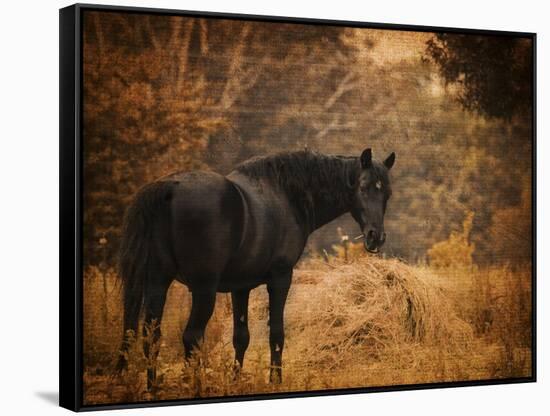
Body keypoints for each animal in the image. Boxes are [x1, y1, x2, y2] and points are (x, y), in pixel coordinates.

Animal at [116, 149, 396, 386]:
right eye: (363, 187)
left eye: (387, 193)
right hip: (203, 289)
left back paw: (153, 387)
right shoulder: (280, 278)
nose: (376, 237)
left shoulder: (240, 287)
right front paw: (275, 380)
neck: (287, 196)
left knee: (151, 335)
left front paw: (236, 380)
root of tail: (168, 188)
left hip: (157, 283)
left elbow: (241, 337)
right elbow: (276, 333)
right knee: (191, 336)